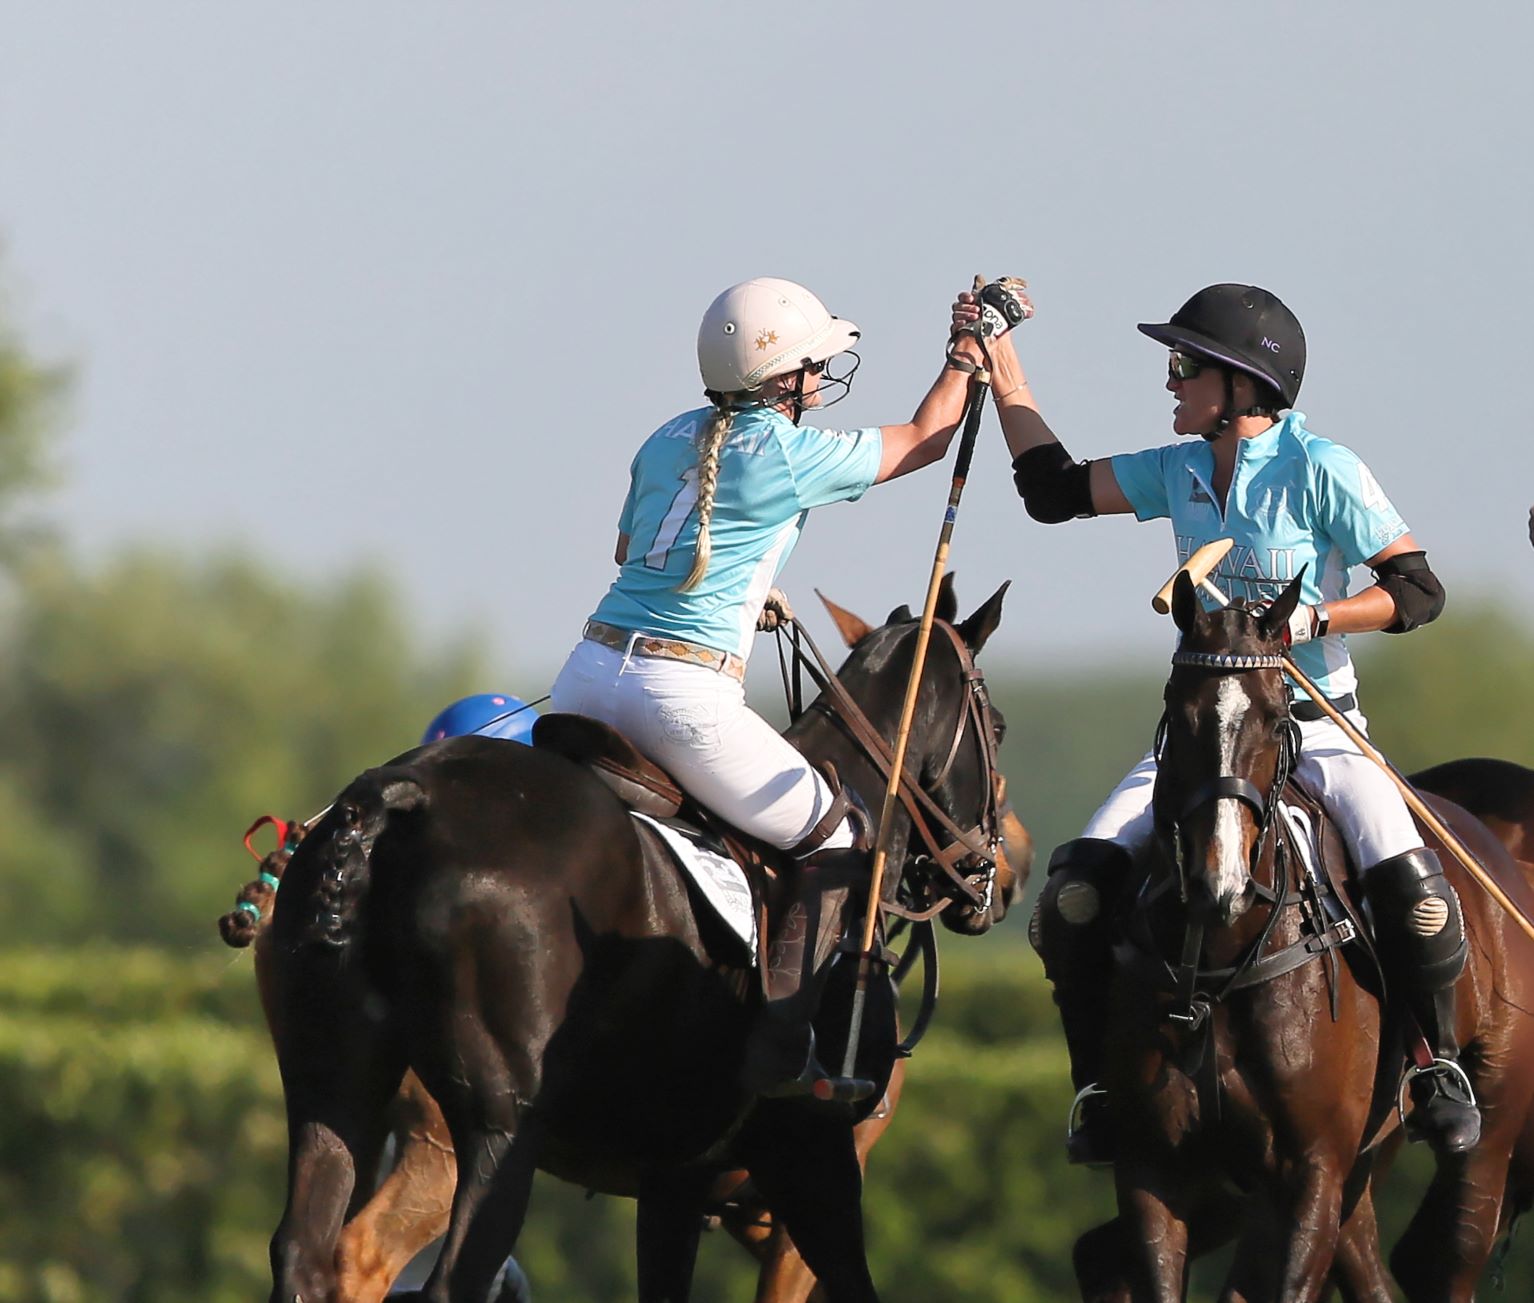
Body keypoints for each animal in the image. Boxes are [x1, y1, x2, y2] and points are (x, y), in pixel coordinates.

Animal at [261, 578, 1019, 1303]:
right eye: (999, 726)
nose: (1004, 875)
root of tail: (401, 794)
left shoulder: (677, 1182)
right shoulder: (816, 1155)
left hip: (330, 1079)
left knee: (303, 1253)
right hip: (495, 1126)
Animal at [1062, 573, 1534, 1302]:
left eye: (1274, 715)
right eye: (1178, 710)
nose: (1219, 881)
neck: (1219, 961)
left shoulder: (1311, 1166)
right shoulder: (1154, 1167)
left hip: (1490, 1123)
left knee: (1445, 1253)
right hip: (1339, 1164)